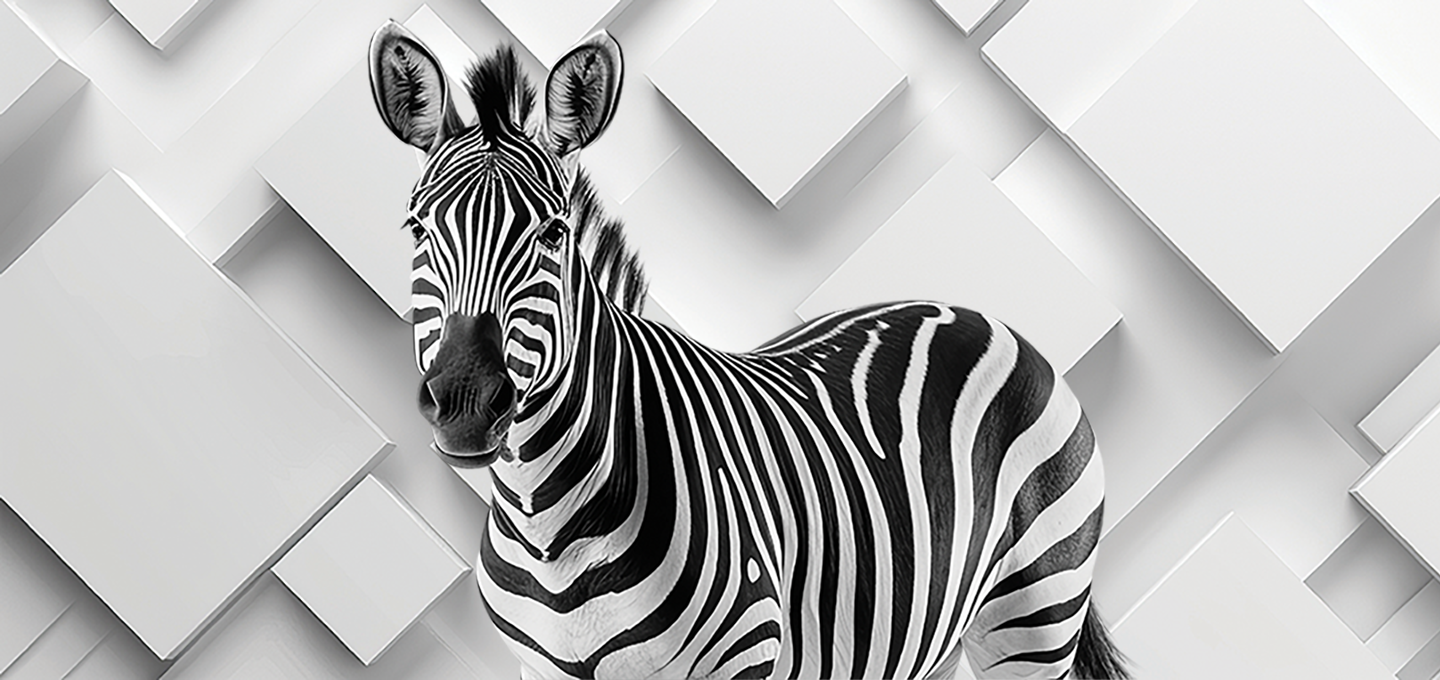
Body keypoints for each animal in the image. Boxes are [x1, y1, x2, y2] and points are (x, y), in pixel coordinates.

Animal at [368, 21, 1129, 680]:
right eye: (416, 229)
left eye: (553, 234)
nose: (465, 403)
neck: (547, 521)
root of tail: (975, 313)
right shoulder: (539, 667)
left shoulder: (743, 656)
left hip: (1036, 609)